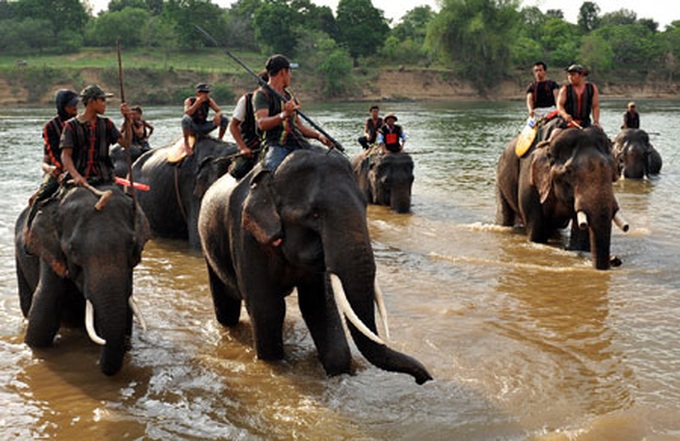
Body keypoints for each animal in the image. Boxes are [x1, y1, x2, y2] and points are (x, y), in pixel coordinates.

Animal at [198, 147, 432, 384]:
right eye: (314, 214)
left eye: (365, 205)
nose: (423, 379)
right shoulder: (246, 238)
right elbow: (268, 309)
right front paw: (275, 366)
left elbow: (318, 305)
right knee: (226, 307)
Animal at [496, 127, 629, 270]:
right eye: (569, 172)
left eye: (613, 171)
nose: (615, 260)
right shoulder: (529, 182)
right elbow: (536, 233)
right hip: (500, 181)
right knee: (504, 217)